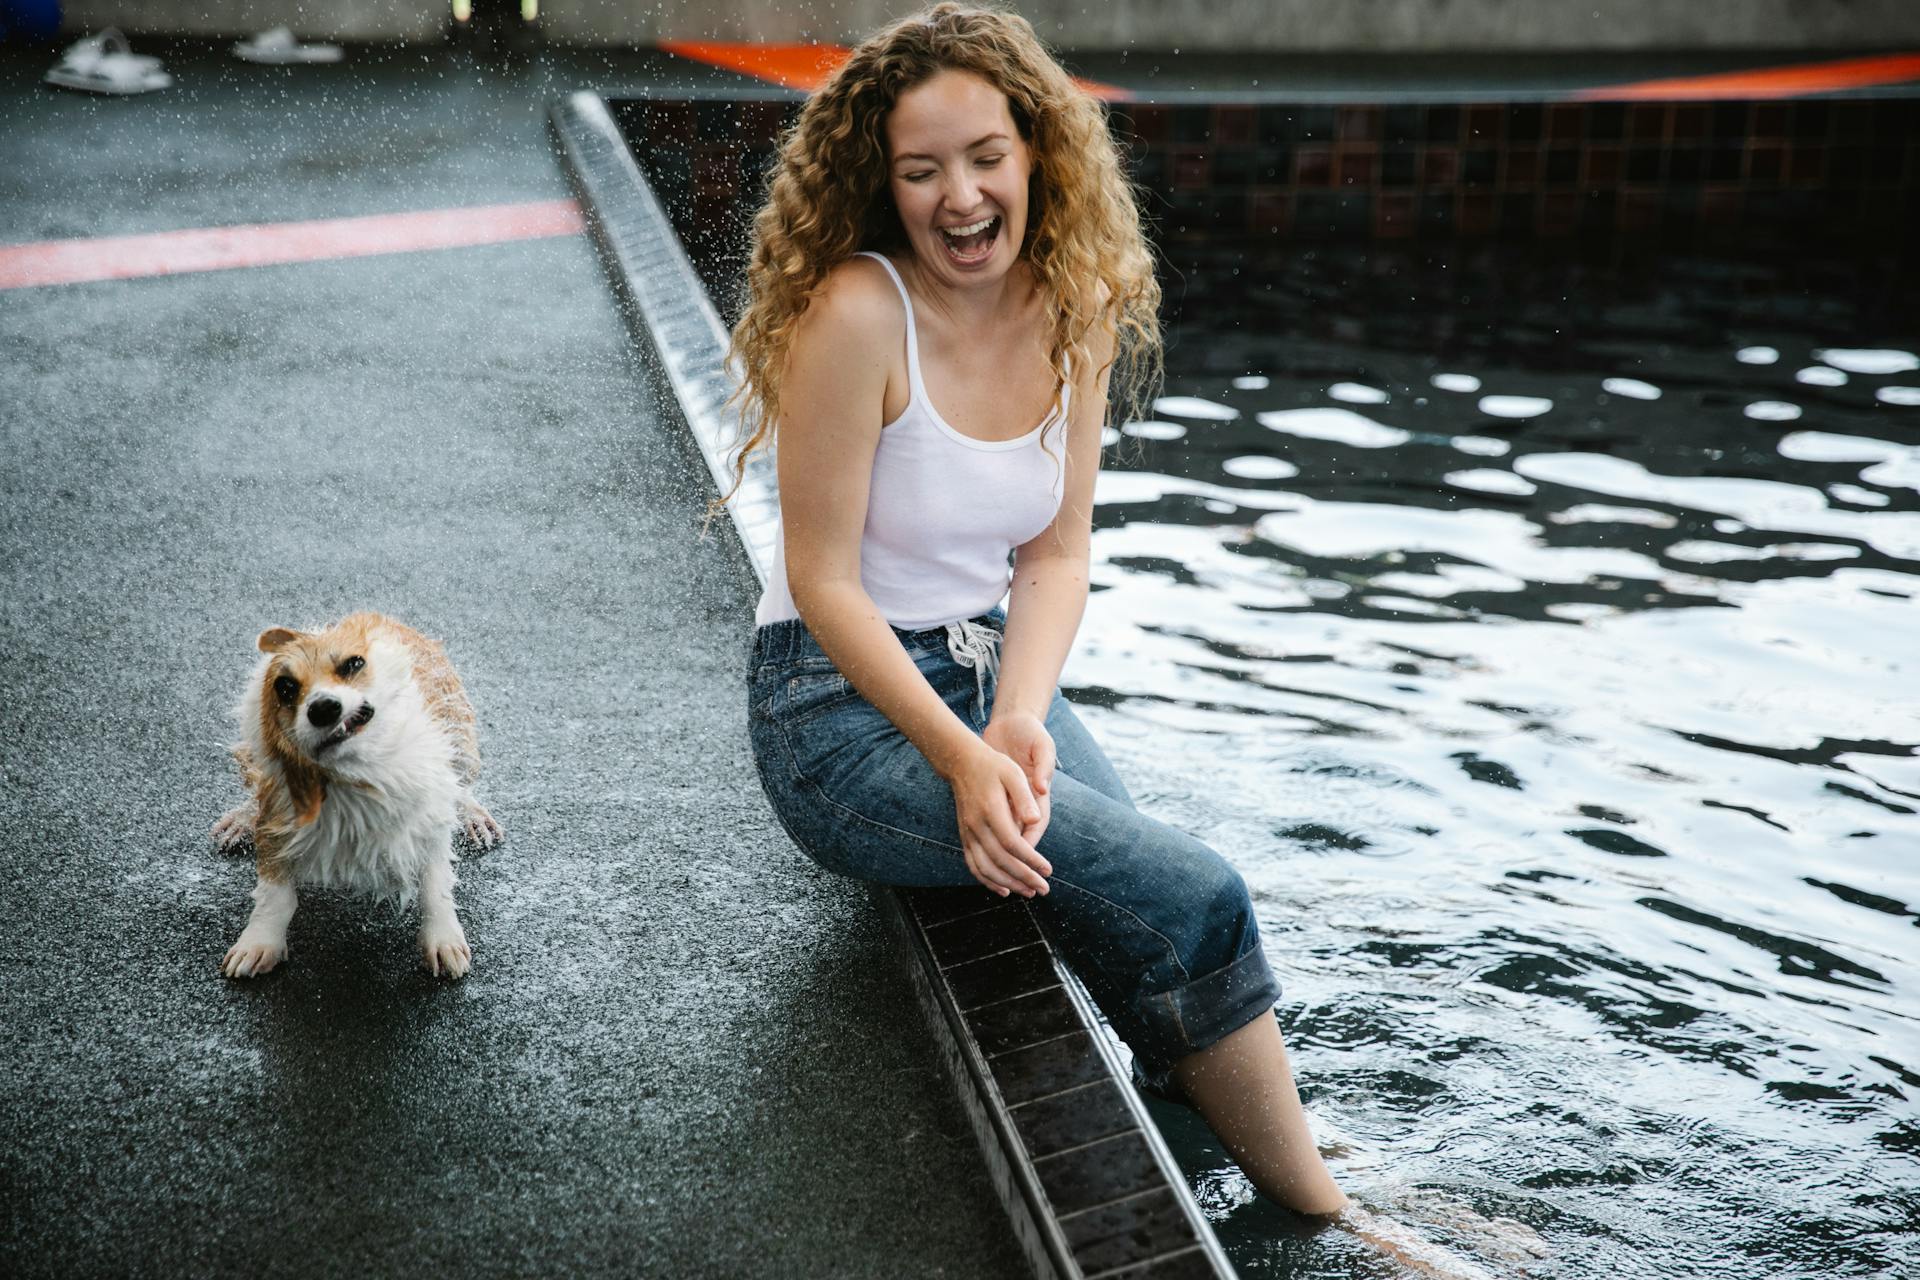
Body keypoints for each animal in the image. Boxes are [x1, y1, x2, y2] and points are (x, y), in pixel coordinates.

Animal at [210, 610, 503, 982]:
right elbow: (274, 894)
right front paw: (259, 942)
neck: (352, 776)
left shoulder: (428, 817)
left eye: (354, 664)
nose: (323, 708)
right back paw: (241, 818)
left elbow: (435, 885)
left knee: (462, 782)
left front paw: (443, 939)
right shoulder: (278, 814)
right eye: (285, 687)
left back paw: (473, 814)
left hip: (461, 737)